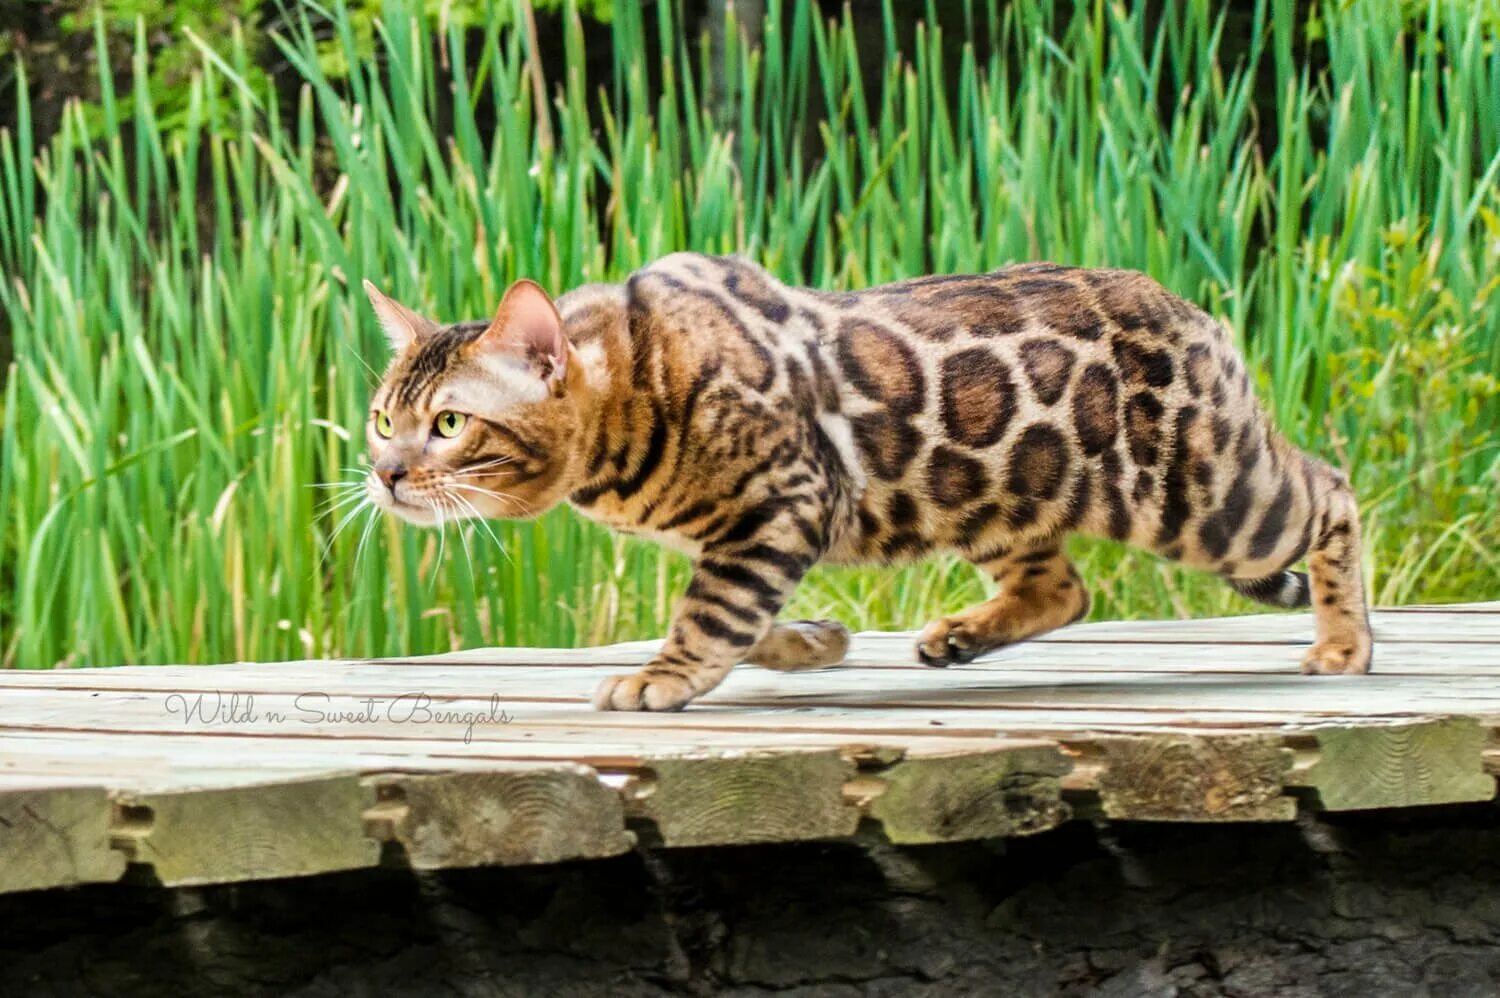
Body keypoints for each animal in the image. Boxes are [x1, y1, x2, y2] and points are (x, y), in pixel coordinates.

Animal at [360, 256, 1374, 708]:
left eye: (448, 424)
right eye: (381, 418)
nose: (384, 474)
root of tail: (1189, 307)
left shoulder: (782, 503)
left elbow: (711, 613)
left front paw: (664, 676)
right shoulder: (749, 532)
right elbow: (744, 617)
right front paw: (811, 642)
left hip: (1202, 494)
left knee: (1332, 489)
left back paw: (1344, 644)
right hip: (994, 495)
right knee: (1063, 586)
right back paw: (962, 637)